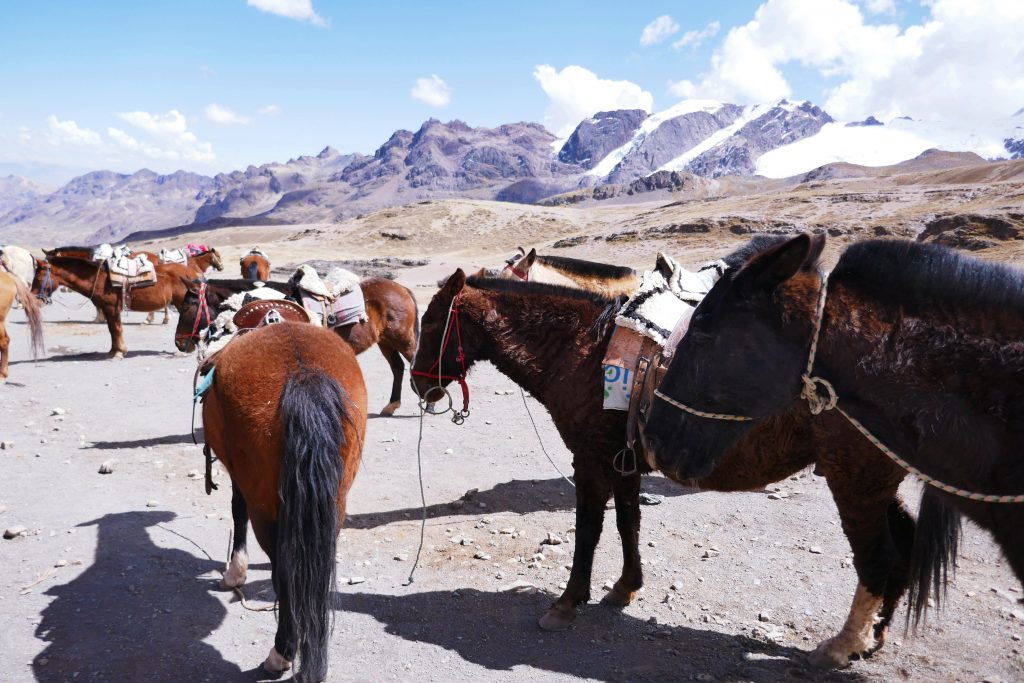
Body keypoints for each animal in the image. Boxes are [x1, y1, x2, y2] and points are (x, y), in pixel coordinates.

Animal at [31, 254, 195, 357]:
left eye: (38, 278)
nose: (34, 299)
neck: (99, 279)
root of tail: (192, 273)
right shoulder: (107, 309)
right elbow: (112, 329)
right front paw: (113, 351)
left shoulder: (111, 308)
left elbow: (115, 329)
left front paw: (118, 352)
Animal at [175, 277, 419, 415]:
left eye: (186, 306)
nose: (179, 342)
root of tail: (401, 288)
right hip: (386, 341)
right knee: (397, 368)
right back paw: (391, 406)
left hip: (402, 338)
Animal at [201, 322, 366, 679]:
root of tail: (303, 375)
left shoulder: (241, 481)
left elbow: (237, 510)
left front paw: (235, 572)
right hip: (335, 503)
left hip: (267, 511)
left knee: (286, 572)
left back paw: (281, 653)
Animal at [412, 267, 917, 668]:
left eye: (432, 320)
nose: (420, 385)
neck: (580, 348)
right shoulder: (623, 460)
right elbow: (628, 522)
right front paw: (625, 588)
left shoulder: (590, 458)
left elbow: (589, 529)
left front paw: (567, 603)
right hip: (872, 481)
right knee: (903, 540)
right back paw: (873, 638)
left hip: (853, 478)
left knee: (879, 555)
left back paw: (842, 646)